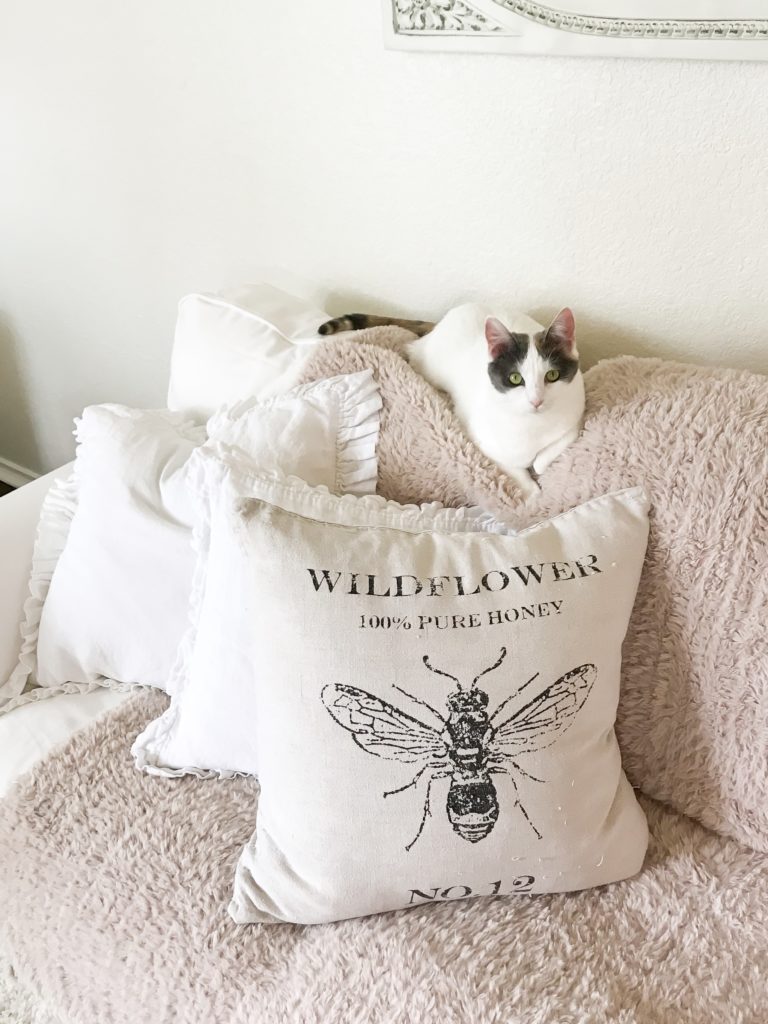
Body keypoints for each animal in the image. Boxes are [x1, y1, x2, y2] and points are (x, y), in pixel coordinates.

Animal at [317, 301, 581, 497]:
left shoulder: (575, 418)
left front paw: (538, 466)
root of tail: (444, 320)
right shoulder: (483, 442)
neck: (532, 424)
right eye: (516, 378)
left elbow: (548, 454)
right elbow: (514, 468)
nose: (536, 401)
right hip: (429, 364)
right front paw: (533, 491)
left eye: (552, 375)